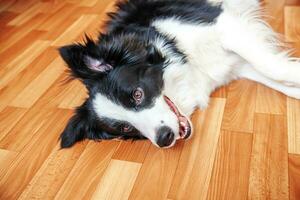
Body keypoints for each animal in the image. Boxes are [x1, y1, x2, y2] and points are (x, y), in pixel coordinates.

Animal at [58, 0, 300, 148]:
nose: (164, 138)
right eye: (125, 128)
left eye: (137, 94)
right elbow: (278, 78)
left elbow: (274, 68)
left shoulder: (224, 24)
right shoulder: (236, 65)